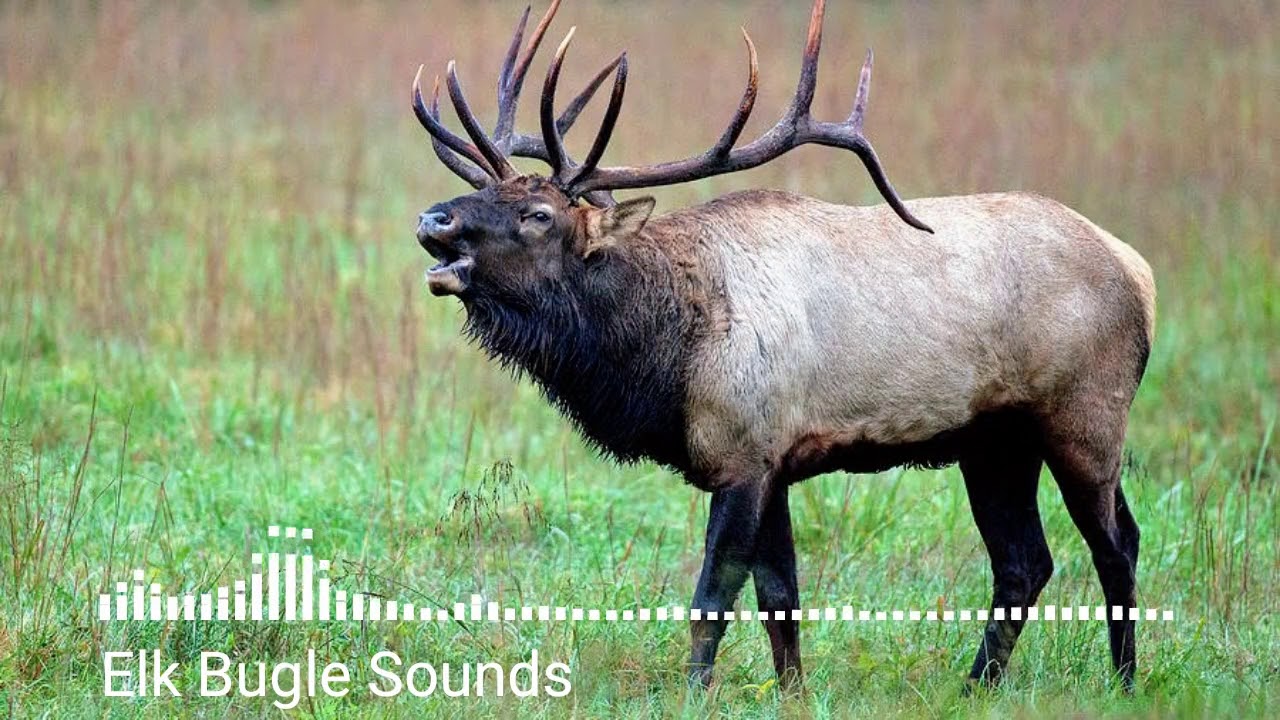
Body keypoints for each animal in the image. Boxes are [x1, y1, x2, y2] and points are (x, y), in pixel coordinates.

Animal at [409, 0, 1155, 693]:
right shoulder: (773, 460)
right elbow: (780, 599)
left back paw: (1123, 682)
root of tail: (1139, 273)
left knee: (1117, 543)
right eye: (484, 190)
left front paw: (694, 693)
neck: (668, 354)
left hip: (1086, 416)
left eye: (538, 215)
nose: (432, 218)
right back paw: (977, 686)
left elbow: (713, 598)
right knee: (1024, 562)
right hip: (996, 441)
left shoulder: (743, 452)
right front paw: (793, 694)